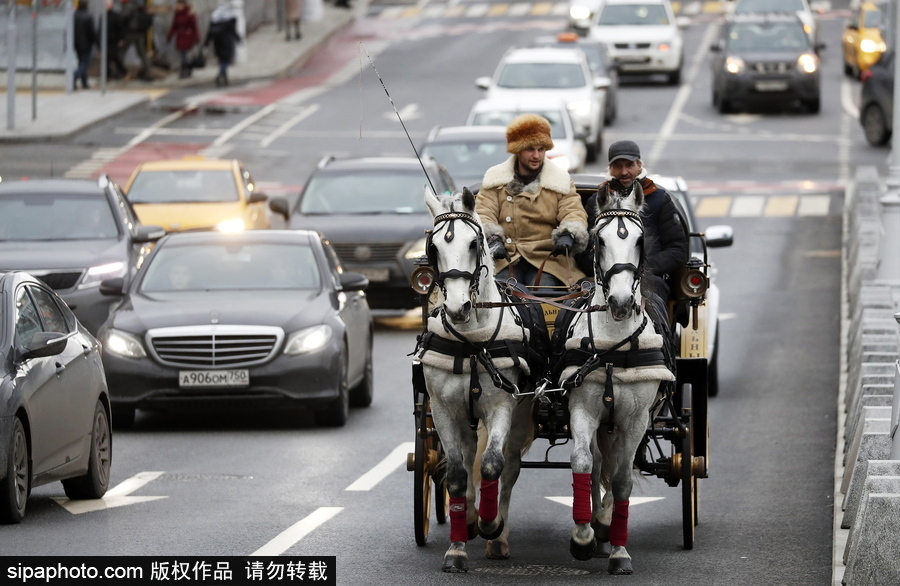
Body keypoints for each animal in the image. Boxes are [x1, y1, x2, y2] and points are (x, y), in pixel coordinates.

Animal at [414, 187, 540, 572]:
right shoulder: (443, 410)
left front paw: (490, 523)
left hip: (520, 415)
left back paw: (498, 537)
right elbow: (457, 474)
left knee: (509, 466)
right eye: (433, 247)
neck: (472, 341)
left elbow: (491, 464)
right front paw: (458, 543)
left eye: (474, 243)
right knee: (469, 458)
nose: (457, 308)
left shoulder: (502, 406)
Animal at [556, 180, 676, 572]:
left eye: (640, 240)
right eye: (600, 240)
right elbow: (583, 463)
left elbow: (623, 480)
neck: (613, 345)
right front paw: (582, 538)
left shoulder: (635, 419)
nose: (621, 302)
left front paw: (619, 549)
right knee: (596, 465)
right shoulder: (583, 409)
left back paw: (606, 524)